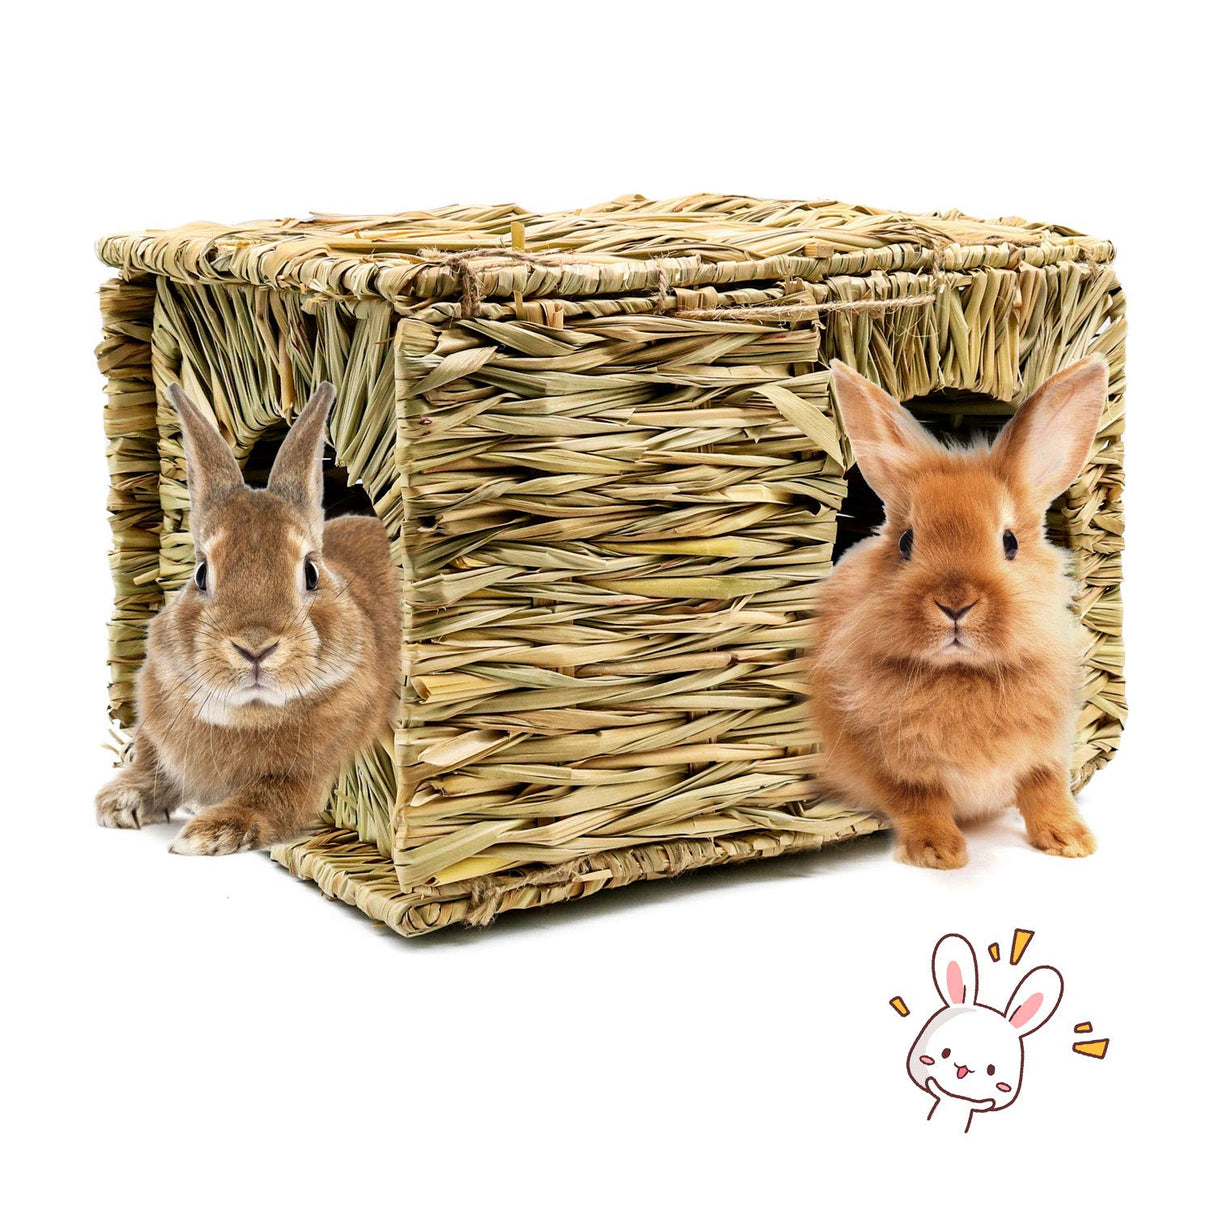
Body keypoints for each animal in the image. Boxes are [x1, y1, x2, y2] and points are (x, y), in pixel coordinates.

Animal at [95, 381, 401, 855]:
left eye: (311, 572)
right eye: (201, 573)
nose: (255, 648)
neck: (249, 714)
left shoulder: (304, 778)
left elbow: (267, 799)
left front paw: (206, 835)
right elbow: (153, 767)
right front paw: (118, 802)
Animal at [808, 356, 1109, 869]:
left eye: (1010, 542)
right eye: (905, 542)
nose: (955, 604)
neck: (962, 674)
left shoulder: (1046, 753)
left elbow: (1046, 790)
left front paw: (1071, 841)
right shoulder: (888, 766)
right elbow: (918, 799)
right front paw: (939, 852)